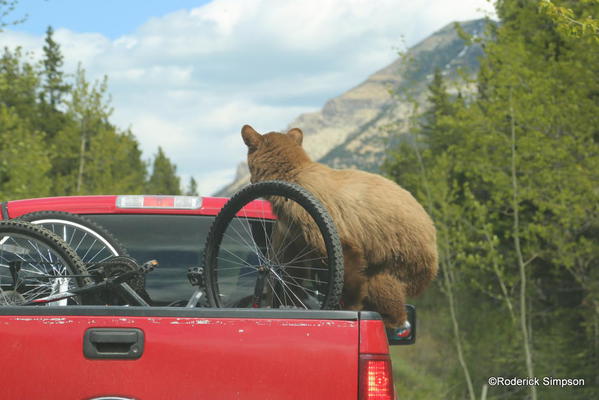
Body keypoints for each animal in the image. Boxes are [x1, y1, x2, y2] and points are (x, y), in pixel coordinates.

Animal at [241, 125, 438, 328]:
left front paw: (350, 304)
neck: (290, 177)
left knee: (382, 283)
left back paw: (389, 318)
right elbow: (294, 266)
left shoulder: (314, 215)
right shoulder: (293, 228)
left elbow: (343, 254)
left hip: (401, 253)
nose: (250, 181)